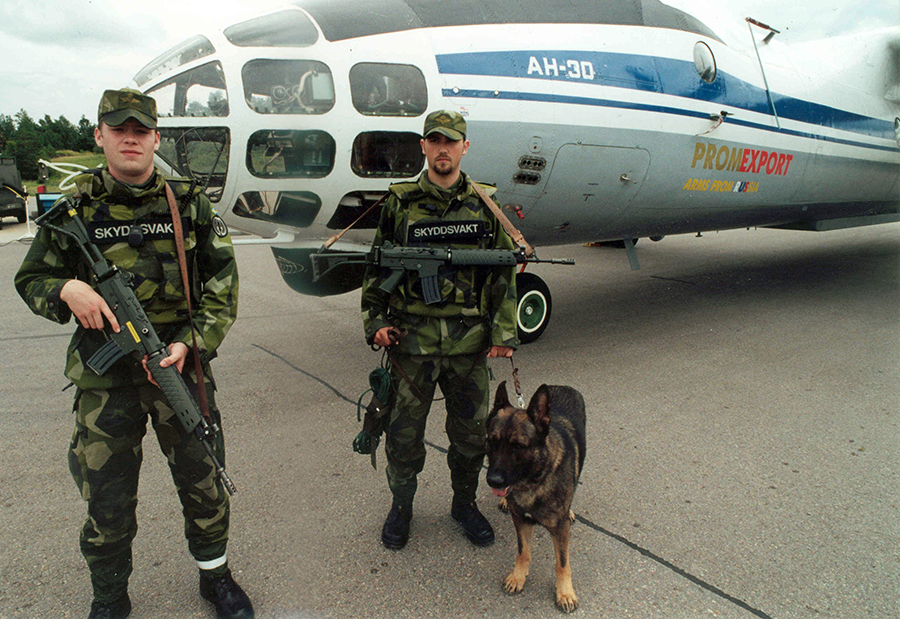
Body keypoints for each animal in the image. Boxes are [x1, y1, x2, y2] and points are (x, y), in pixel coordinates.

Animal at [488, 382, 588, 616]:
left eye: (517, 446)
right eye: (492, 442)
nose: (493, 481)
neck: (533, 481)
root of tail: (561, 385)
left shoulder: (560, 530)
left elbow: (562, 563)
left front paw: (565, 592)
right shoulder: (521, 520)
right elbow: (523, 552)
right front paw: (518, 577)